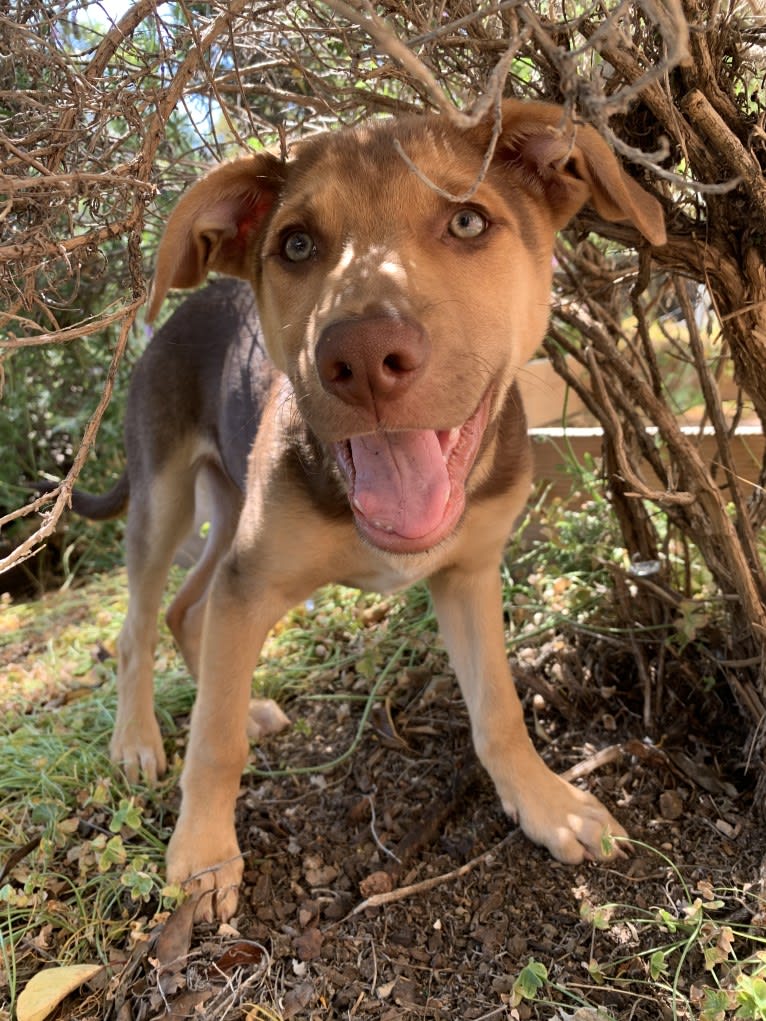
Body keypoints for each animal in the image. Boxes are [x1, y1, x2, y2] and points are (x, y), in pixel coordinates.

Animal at [64, 99, 665, 922]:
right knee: (140, 625)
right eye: (296, 244)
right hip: (165, 500)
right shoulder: (255, 579)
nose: (363, 358)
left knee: (193, 608)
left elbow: (499, 710)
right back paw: (139, 740)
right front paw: (204, 854)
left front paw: (546, 802)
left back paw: (245, 703)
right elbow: (214, 743)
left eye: (468, 221)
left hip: (230, 513)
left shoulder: (469, 573)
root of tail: (183, 309)